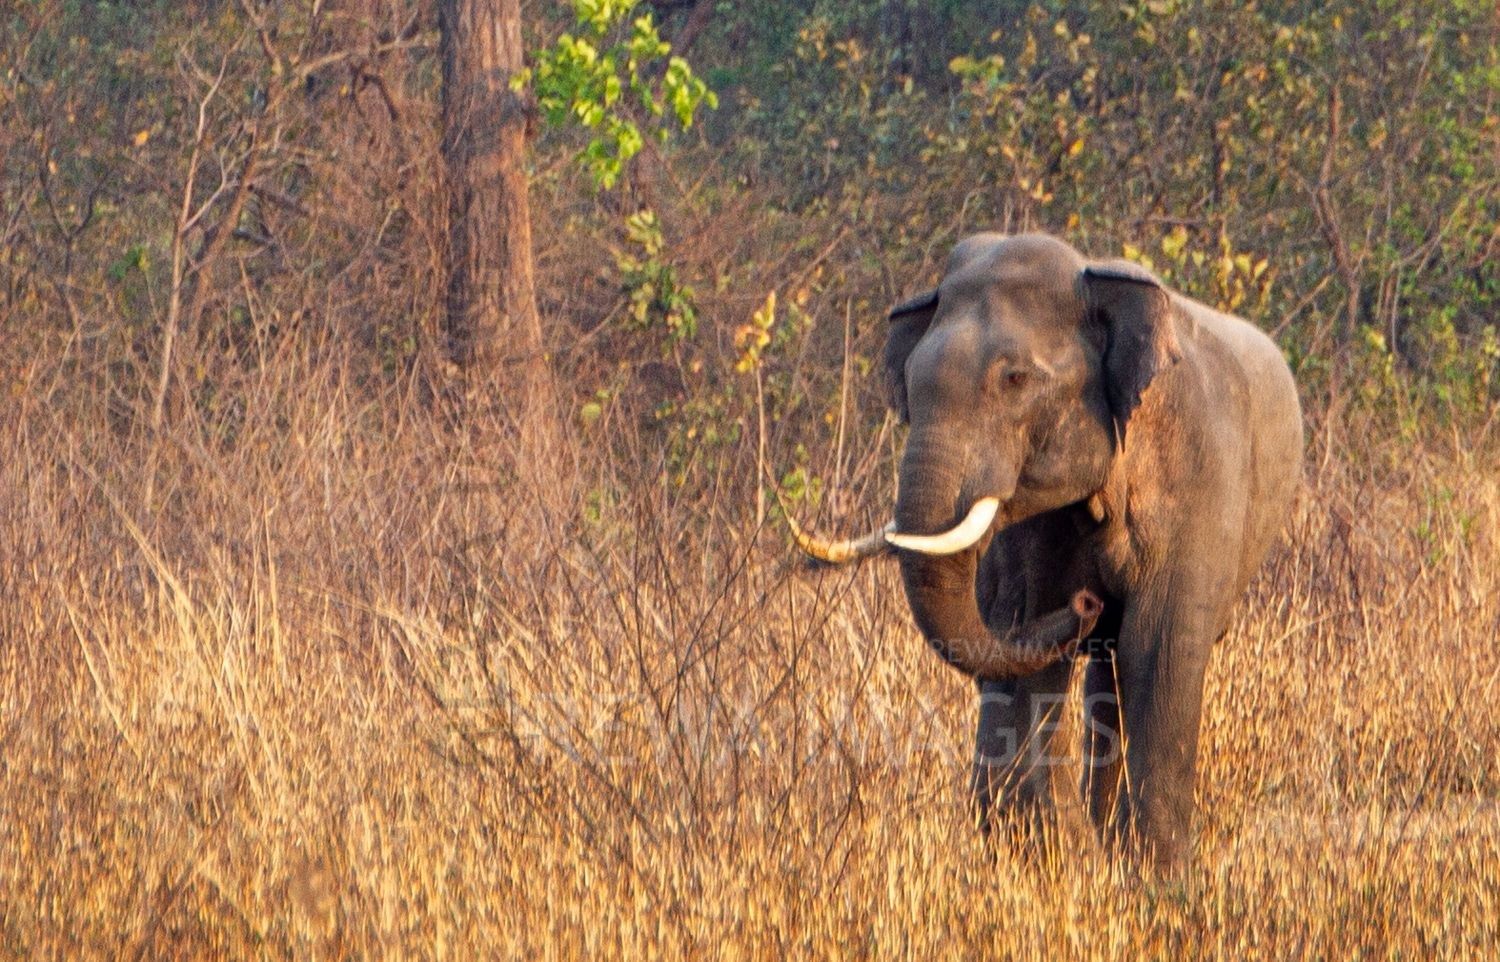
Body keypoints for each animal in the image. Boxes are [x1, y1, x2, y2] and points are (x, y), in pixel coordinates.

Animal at [789, 232, 1302, 867]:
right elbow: (1036, 645)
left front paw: (1158, 875)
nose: (1088, 603)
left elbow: (1158, 649)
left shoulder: (1201, 469)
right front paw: (1056, 859)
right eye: (907, 383)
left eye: (1014, 379)